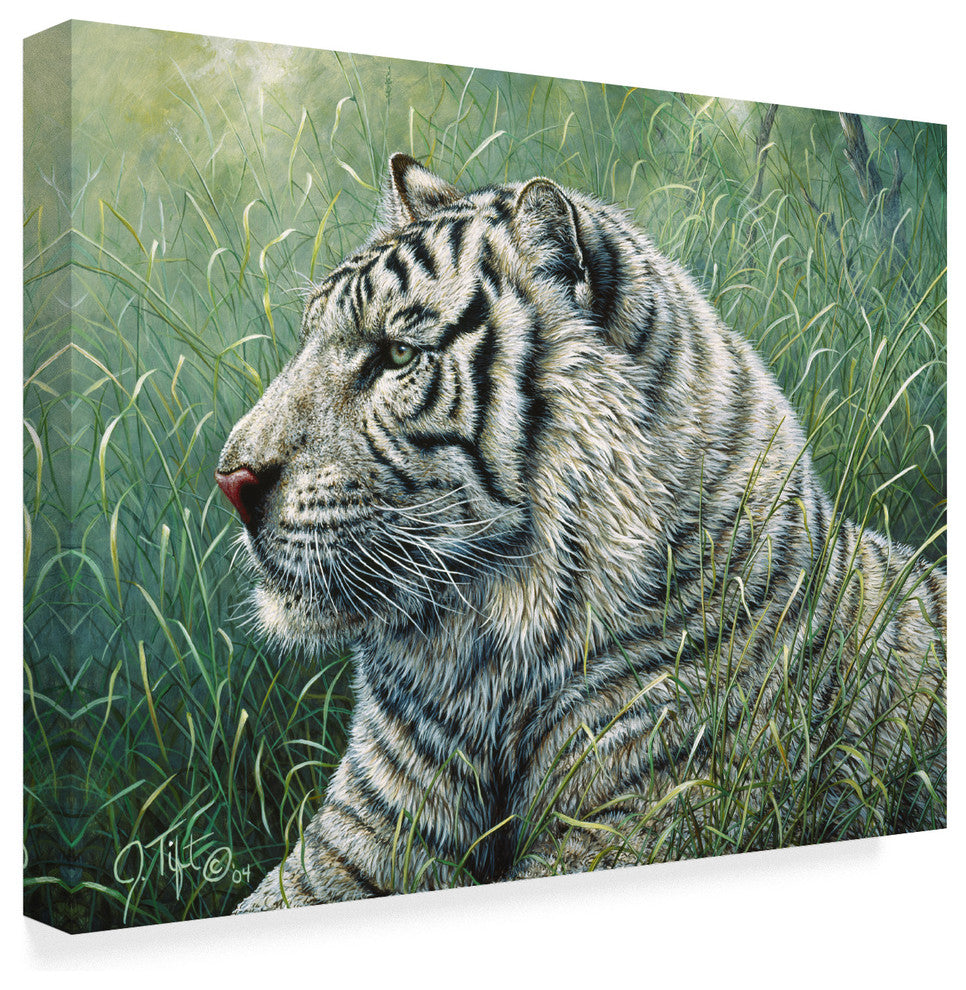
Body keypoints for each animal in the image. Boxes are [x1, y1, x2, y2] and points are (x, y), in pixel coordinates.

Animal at [216, 153, 946, 913]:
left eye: (395, 355)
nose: (230, 481)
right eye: (307, 341)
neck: (479, 677)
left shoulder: (634, 824)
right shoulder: (351, 841)